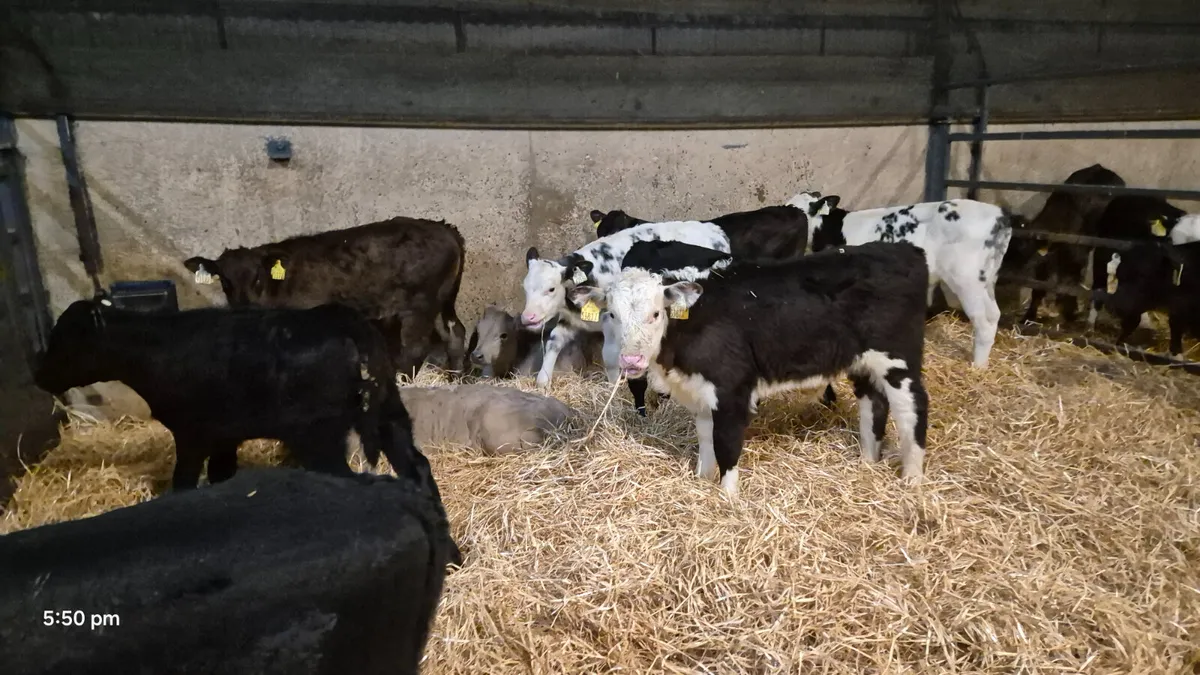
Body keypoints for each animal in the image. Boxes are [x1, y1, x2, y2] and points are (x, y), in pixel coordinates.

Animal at [33, 299, 439, 495]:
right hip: (389, 412)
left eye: (66, 340)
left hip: (318, 435)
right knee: (415, 465)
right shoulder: (225, 435)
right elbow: (220, 474)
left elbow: (184, 481)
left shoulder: (192, 433)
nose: (38, 375)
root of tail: (345, 321)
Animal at [183, 217, 468, 379]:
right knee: (455, 332)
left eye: (258, 278)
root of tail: (444, 228)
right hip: (442, 301)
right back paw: (456, 379)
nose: (245, 307)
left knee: (415, 349)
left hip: (419, 305)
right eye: (225, 282)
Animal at [571, 240, 930, 497]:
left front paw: (728, 499)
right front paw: (702, 481)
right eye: (612, 314)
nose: (631, 361)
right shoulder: (702, 392)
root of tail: (904, 249)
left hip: (898, 358)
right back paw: (868, 460)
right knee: (873, 402)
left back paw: (912, 477)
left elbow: (726, 445)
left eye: (656, 314)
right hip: (862, 360)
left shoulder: (732, 389)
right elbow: (706, 440)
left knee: (912, 407)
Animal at [788, 192, 1012, 369]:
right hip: (987, 279)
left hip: (966, 280)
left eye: (795, 210)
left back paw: (978, 366)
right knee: (994, 314)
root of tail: (999, 215)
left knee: (983, 320)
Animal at [1002, 164, 1125, 324]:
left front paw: (1070, 313)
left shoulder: (1077, 254)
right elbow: (1039, 287)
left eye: (1020, 248)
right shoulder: (1047, 257)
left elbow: (1071, 283)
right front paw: (1028, 316)